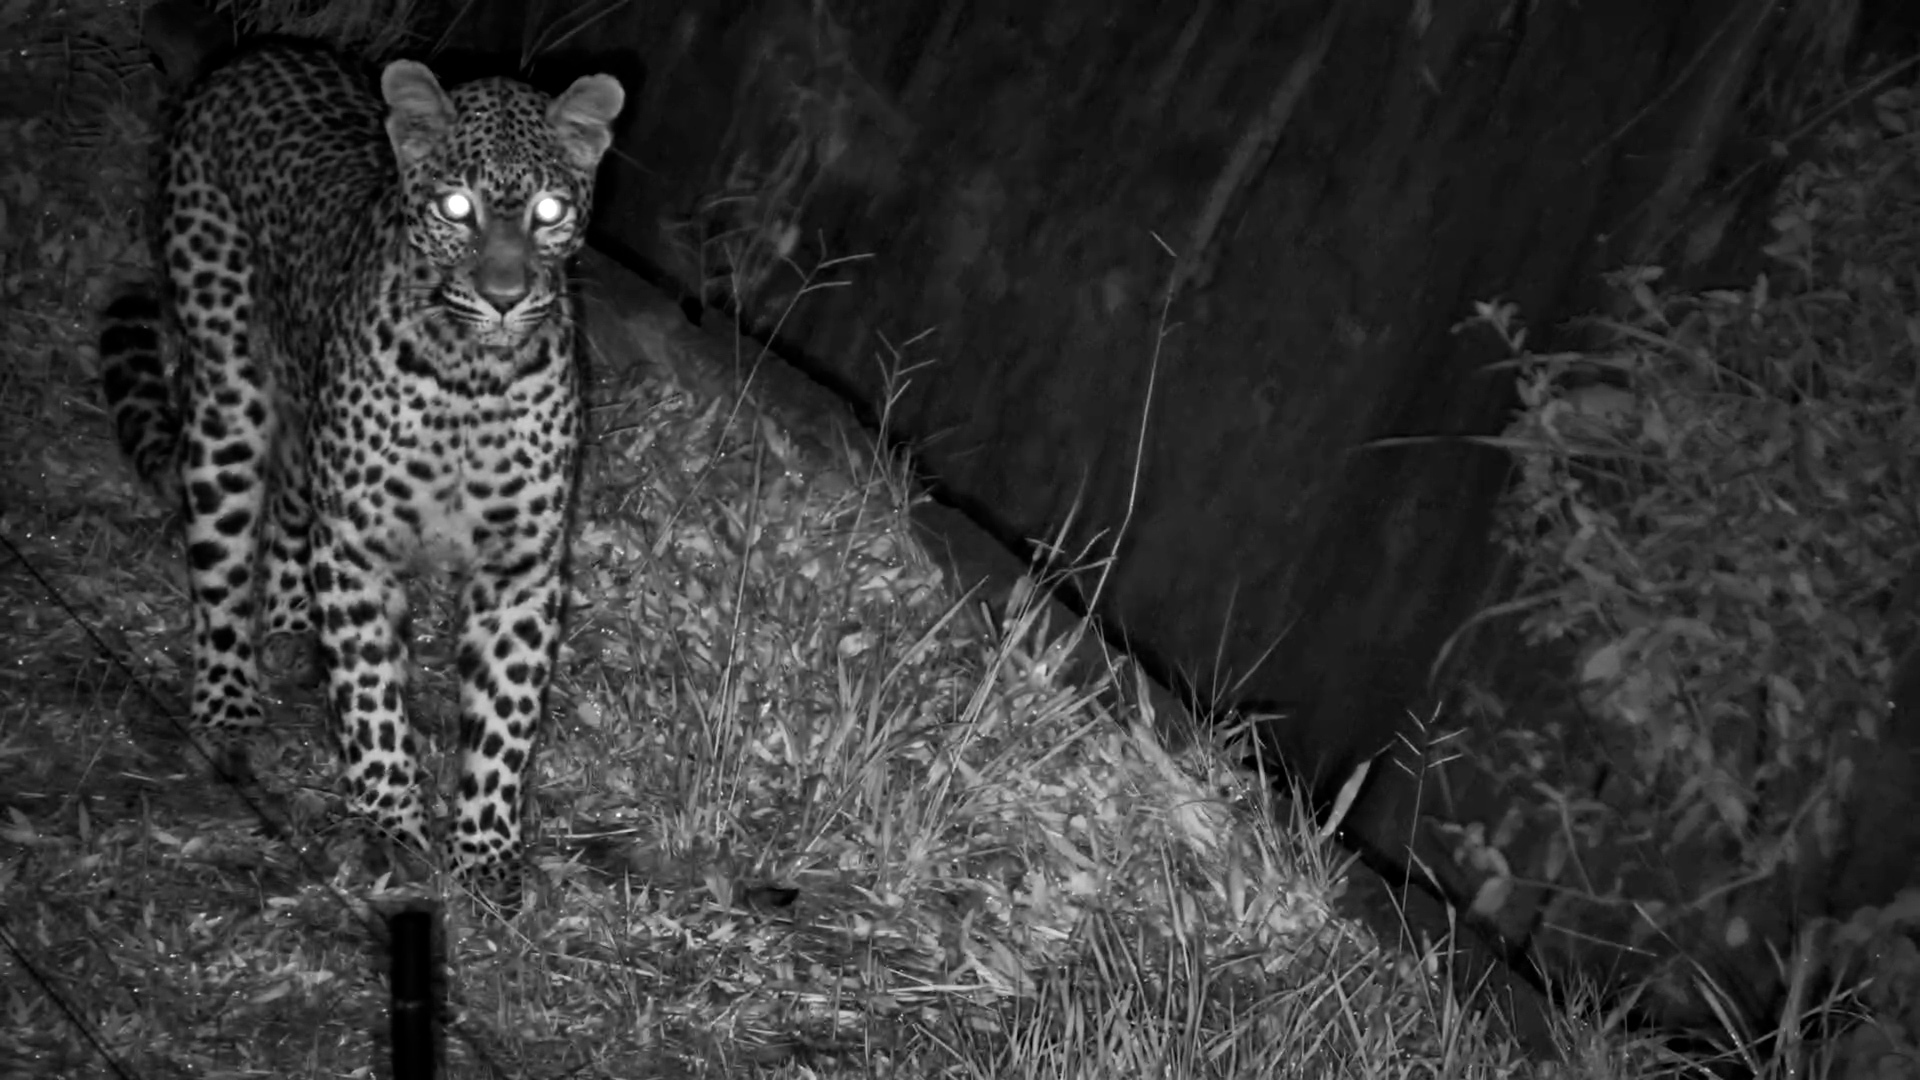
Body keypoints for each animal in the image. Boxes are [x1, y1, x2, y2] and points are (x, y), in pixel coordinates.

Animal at [98, 37, 624, 907]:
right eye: (455, 208)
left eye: (550, 212)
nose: (505, 295)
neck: (469, 373)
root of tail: (258, 55)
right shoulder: (358, 546)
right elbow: (373, 692)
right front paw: (391, 829)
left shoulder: (521, 564)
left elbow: (507, 714)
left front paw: (486, 852)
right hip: (227, 389)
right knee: (221, 551)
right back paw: (229, 707)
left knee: (289, 507)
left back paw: (287, 629)